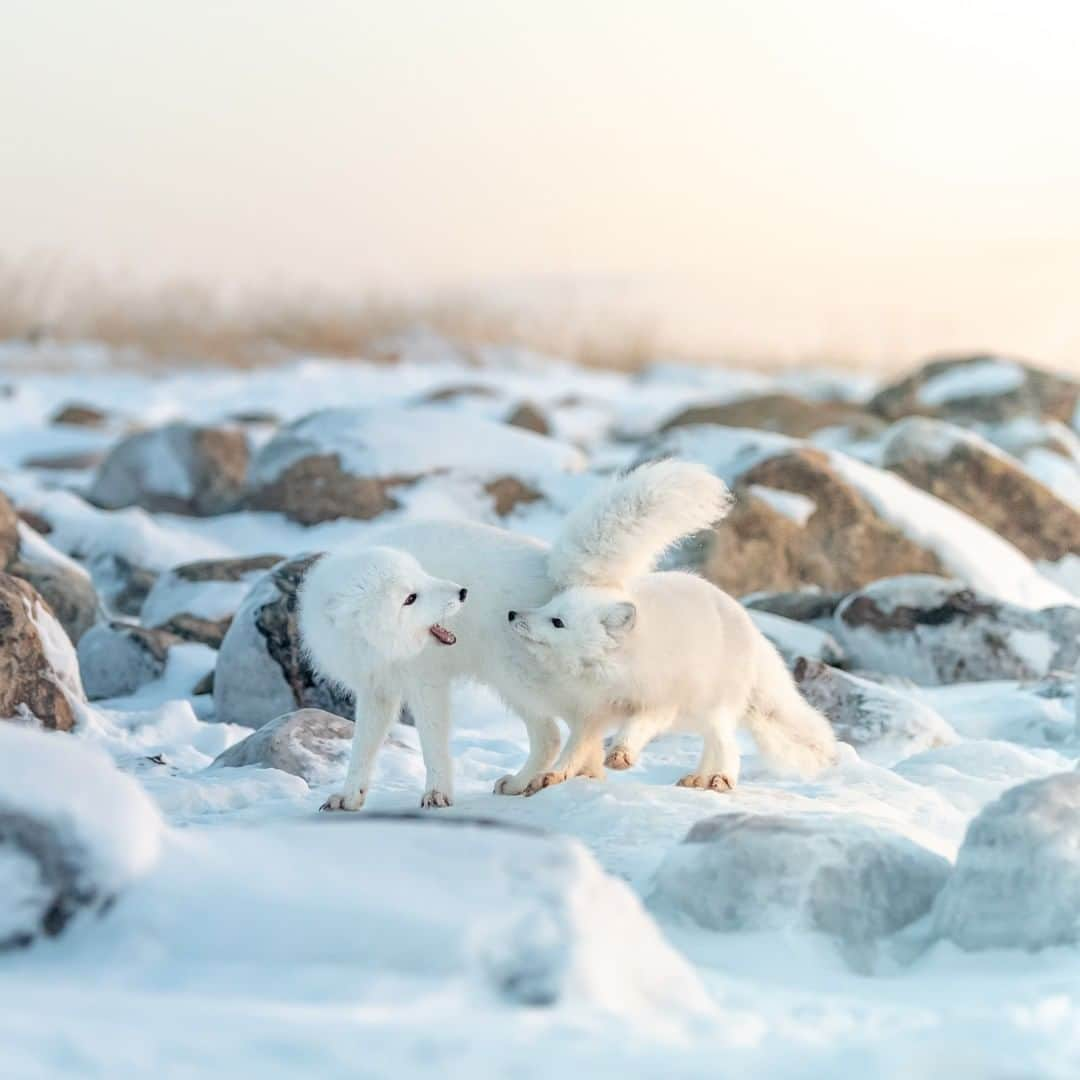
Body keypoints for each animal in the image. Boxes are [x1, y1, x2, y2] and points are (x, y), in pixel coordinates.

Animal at [298, 548, 466, 812]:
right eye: (410, 598)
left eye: (421, 574)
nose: (463, 593)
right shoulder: (376, 687)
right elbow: (362, 745)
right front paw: (349, 796)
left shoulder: (426, 680)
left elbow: (433, 740)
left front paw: (437, 792)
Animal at [505, 574, 833, 794]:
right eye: (547, 605)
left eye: (557, 622)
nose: (511, 613)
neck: (609, 672)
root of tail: (751, 627)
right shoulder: (590, 714)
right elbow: (575, 750)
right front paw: (554, 775)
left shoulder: (659, 703)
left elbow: (635, 726)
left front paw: (621, 753)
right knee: (712, 744)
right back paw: (699, 778)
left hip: (710, 708)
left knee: (728, 745)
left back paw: (722, 778)